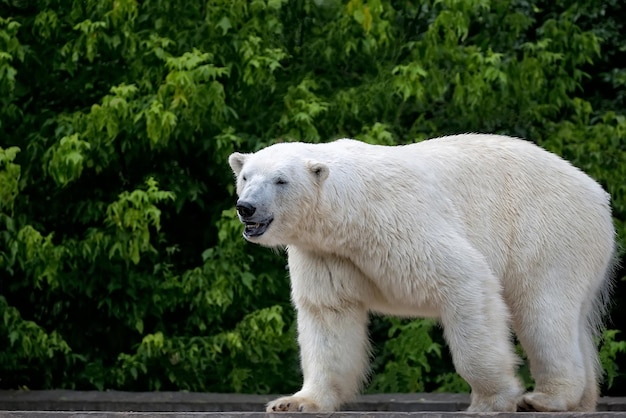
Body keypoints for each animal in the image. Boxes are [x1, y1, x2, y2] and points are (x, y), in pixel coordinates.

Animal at [227, 133, 612, 412]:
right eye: (246, 176)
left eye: (280, 180)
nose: (247, 208)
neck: (349, 216)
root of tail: (597, 193)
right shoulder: (327, 254)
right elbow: (328, 315)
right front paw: (295, 402)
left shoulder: (400, 223)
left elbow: (465, 279)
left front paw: (492, 400)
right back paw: (581, 401)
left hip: (547, 232)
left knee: (543, 312)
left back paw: (547, 398)